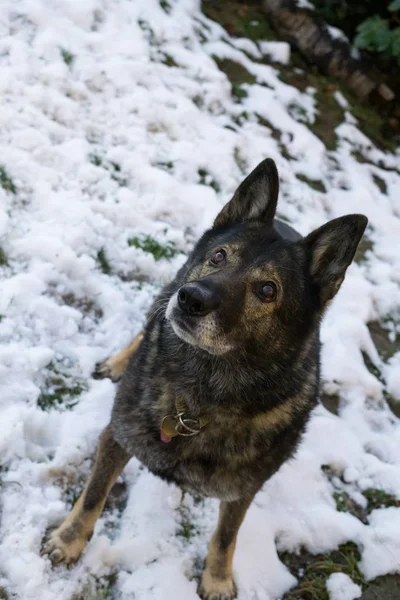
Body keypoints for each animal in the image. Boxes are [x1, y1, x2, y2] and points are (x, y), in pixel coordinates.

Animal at [42, 157, 368, 596]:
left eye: (268, 289)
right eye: (219, 256)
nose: (191, 299)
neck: (201, 396)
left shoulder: (245, 488)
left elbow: (227, 535)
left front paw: (217, 579)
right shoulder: (118, 435)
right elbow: (94, 496)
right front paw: (68, 541)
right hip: (167, 291)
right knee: (148, 322)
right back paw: (117, 362)